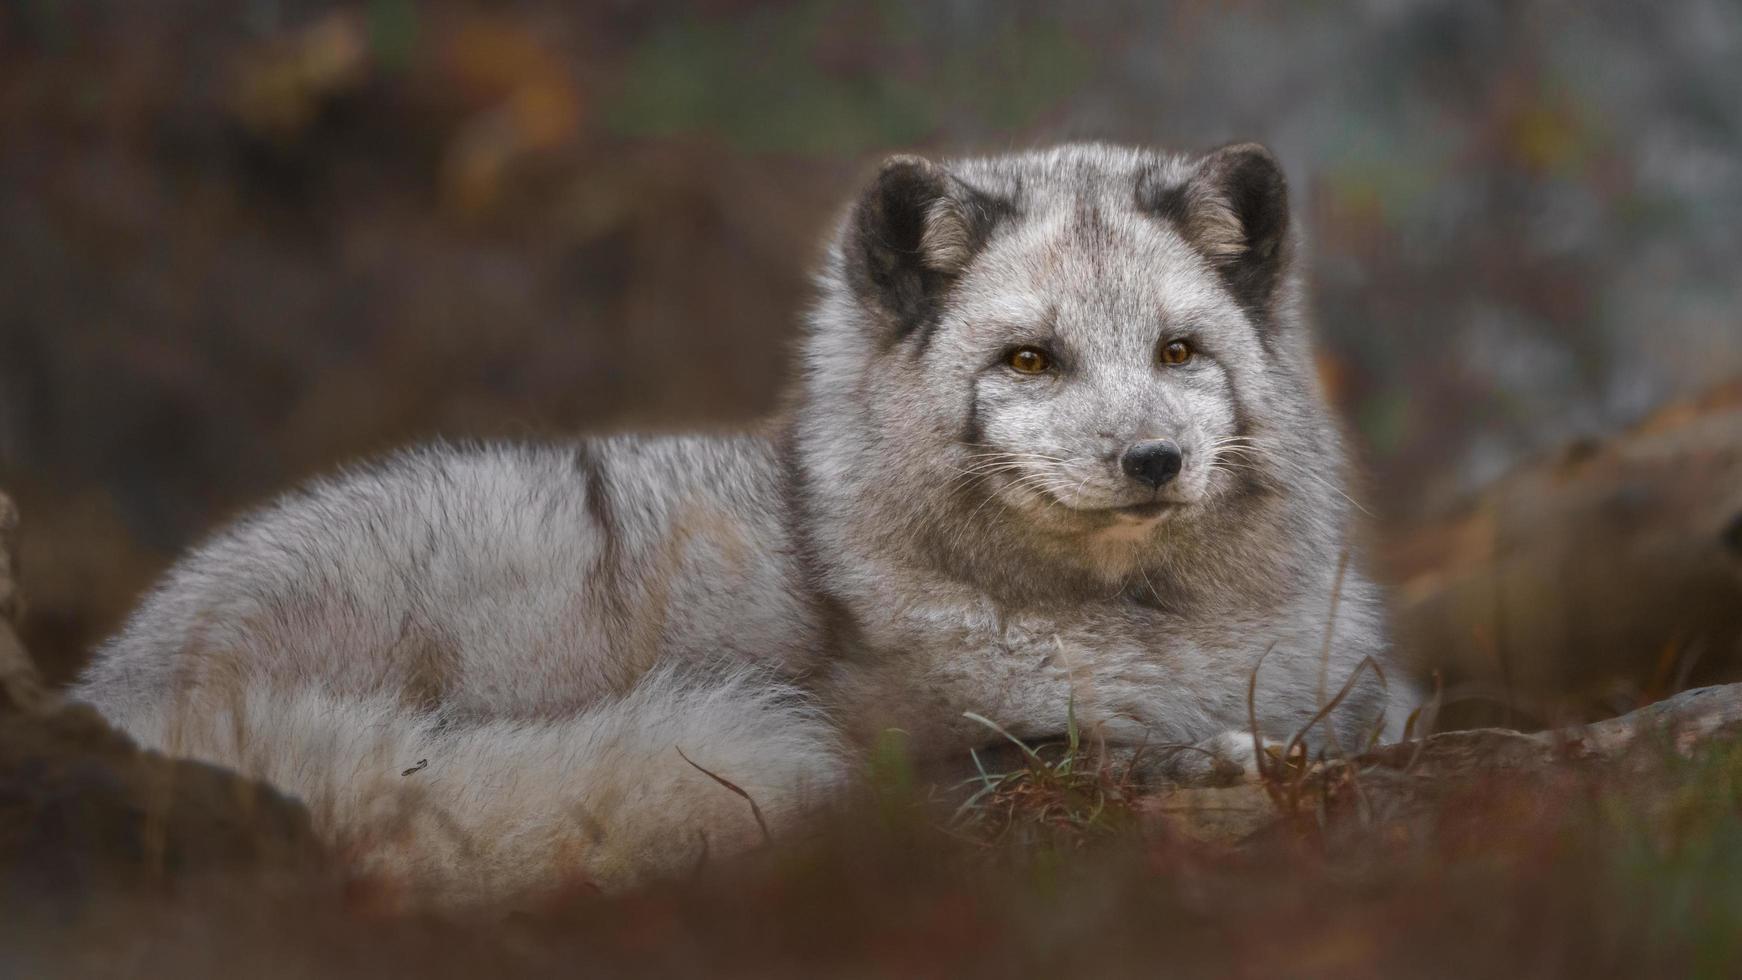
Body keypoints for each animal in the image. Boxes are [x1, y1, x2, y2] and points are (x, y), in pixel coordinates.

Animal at [74, 141, 1421, 898]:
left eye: (1178, 350)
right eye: (1030, 359)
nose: (1152, 459)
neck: (1144, 628)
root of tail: (120, 686)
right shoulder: (925, 748)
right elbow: (1073, 753)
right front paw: (1213, 758)